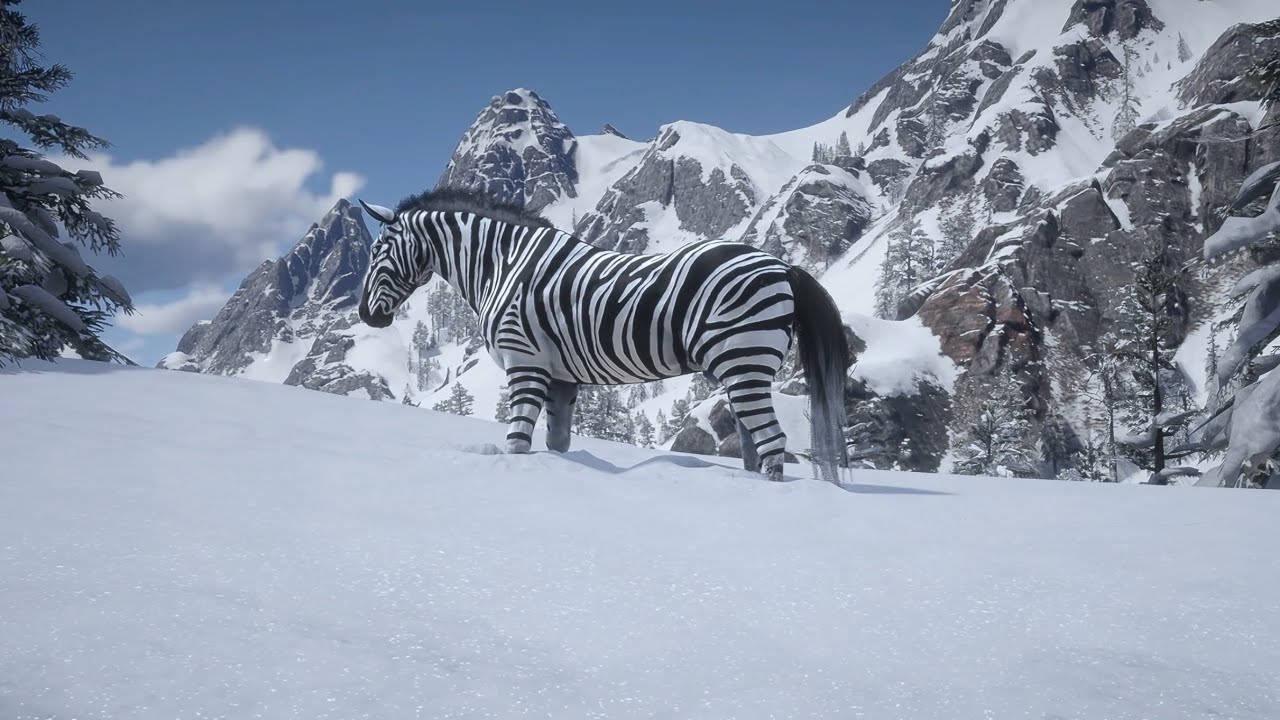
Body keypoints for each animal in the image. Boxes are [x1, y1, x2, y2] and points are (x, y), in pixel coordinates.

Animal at [357, 189, 851, 483]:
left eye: (378, 249)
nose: (365, 315)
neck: (505, 263)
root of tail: (782, 265)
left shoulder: (524, 361)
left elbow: (517, 442)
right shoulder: (560, 376)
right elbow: (556, 444)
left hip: (744, 361)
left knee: (772, 442)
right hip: (741, 370)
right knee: (753, 445)